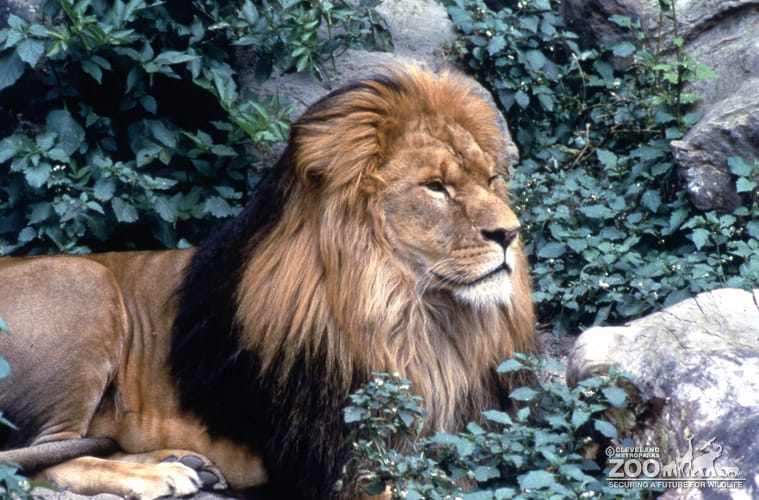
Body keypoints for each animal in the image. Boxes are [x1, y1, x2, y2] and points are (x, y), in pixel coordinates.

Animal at [0, 66, 537, 498]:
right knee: (36, 460)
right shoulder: (342, 462)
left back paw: (182, 462)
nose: (510, 233)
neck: (423, 319)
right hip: (86, 282)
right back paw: (159, 475)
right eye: (435, 187)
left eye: (491, 180)